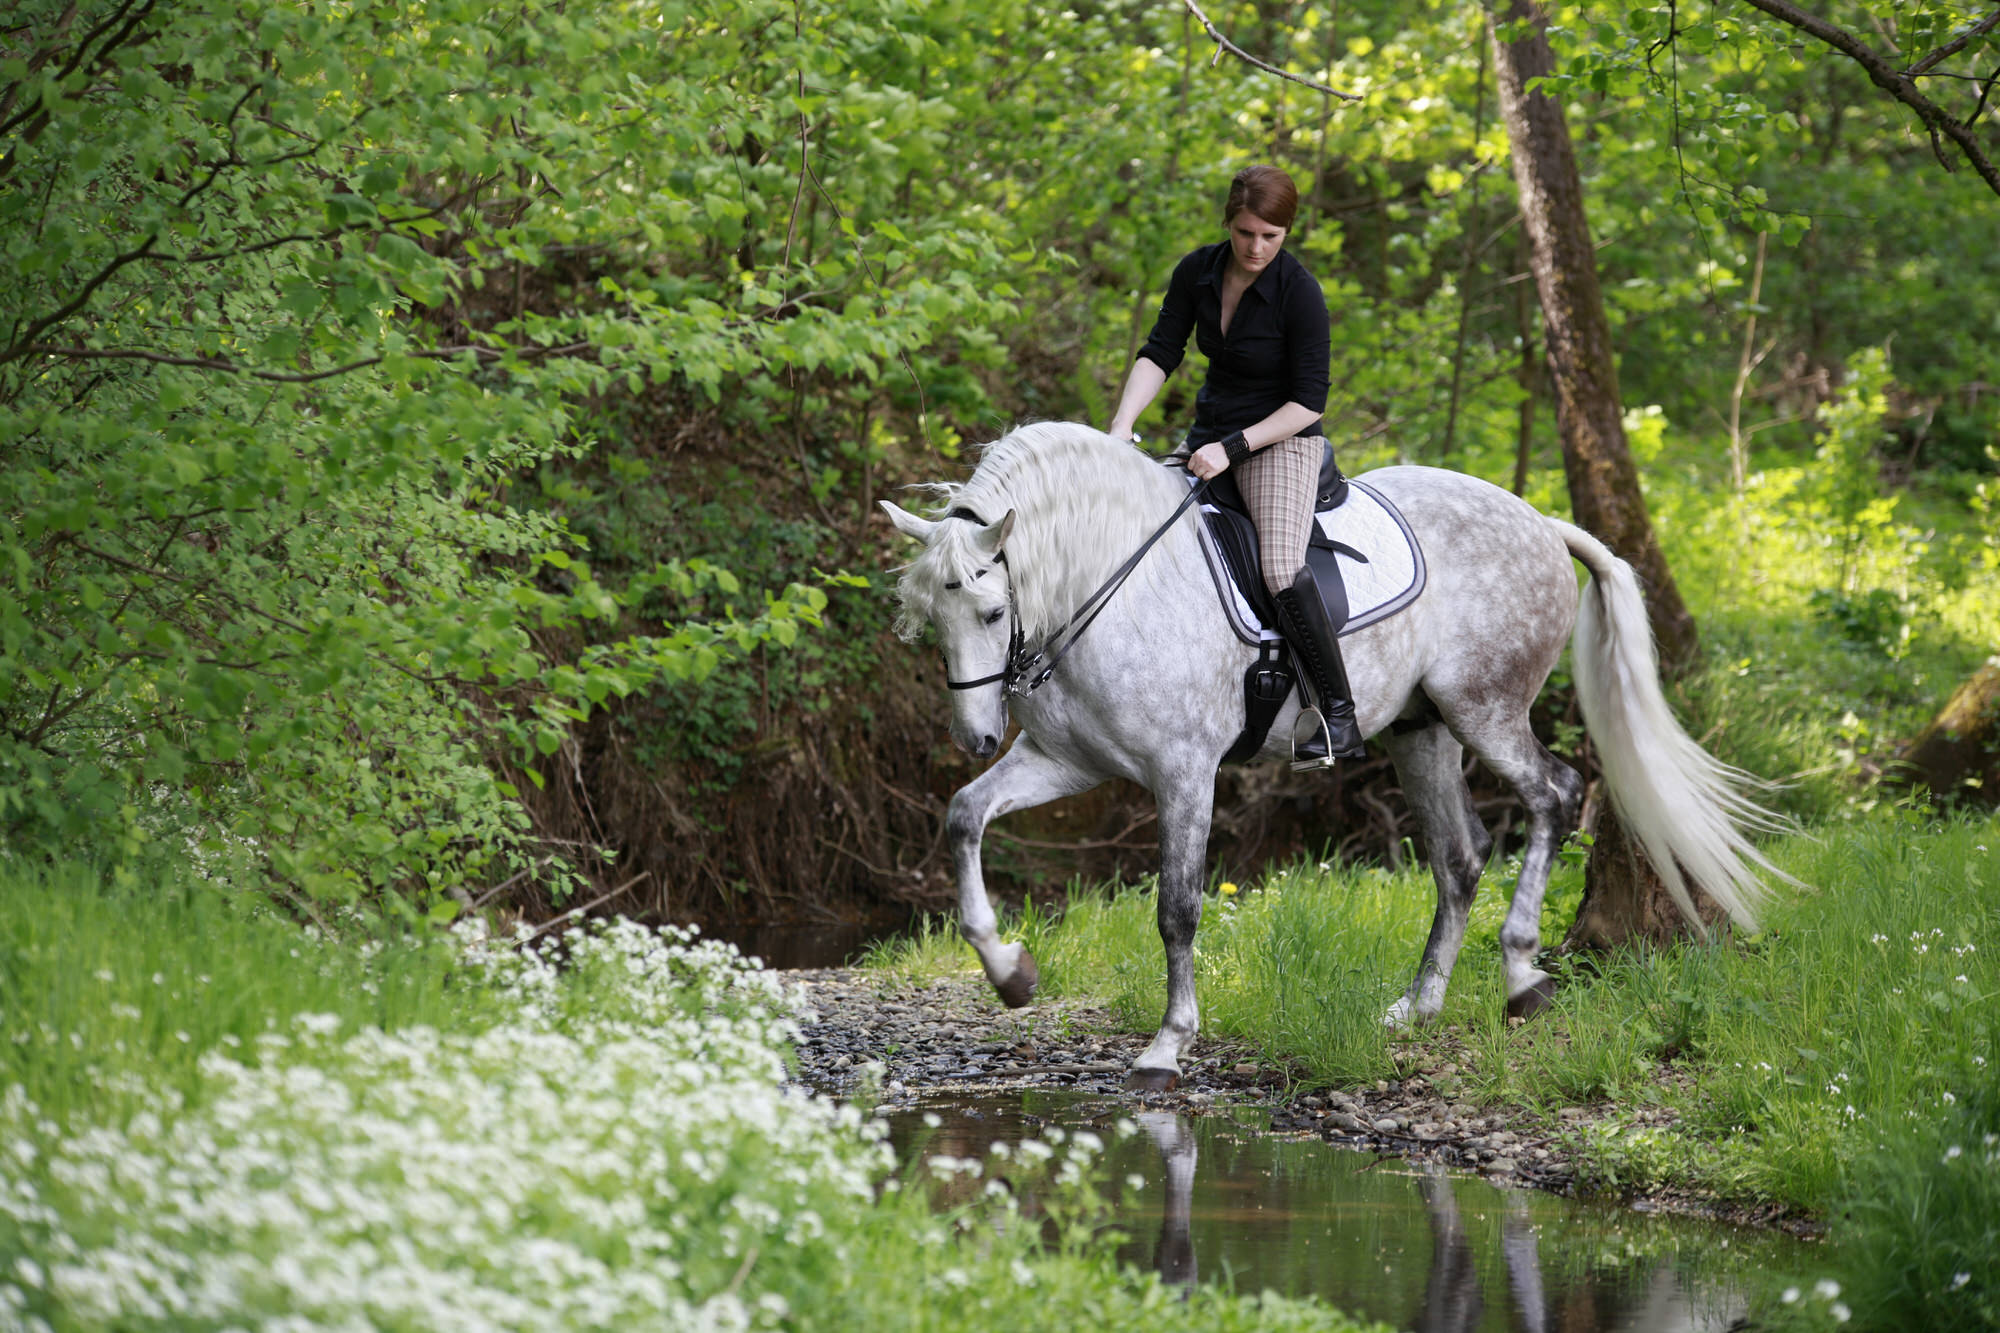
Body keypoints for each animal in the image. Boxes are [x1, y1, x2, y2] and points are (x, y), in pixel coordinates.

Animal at [892, 420, 1784, 1088]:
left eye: (992, 607)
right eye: (931, 617)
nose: (975, 735)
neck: (1111, 584)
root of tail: (1539, 519)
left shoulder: (1184, 771)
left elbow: (1177, 907)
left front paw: (1167, 1044)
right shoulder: (1067, 760)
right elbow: (964, 815)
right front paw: (1010, 972)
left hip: (1485, 709)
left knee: (1554, 796)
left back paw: (1523, 975)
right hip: (1421, 728)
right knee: (1459, 856)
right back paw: (1417, 1006)